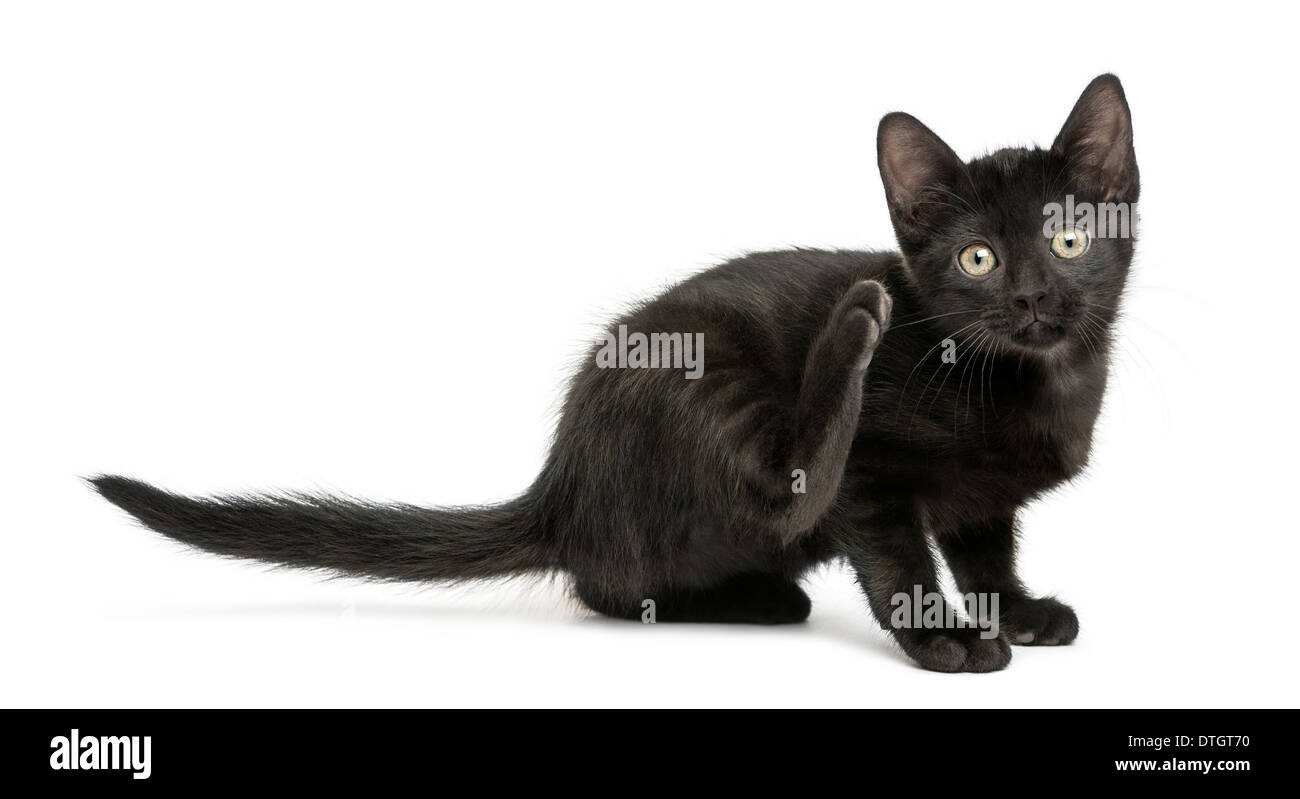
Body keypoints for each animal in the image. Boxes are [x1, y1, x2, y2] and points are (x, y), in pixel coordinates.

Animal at [94, 76, 1138, 675]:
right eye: (976, 260)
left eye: (1067, 239)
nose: (1032, 299)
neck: (1036, 383)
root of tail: (562, 484)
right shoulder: (878, 481)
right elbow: (899, 560)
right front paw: (941, 636)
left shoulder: (982, 503)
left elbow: (985, 556)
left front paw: (1021, 611)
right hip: (708, 380)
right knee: (744, 509)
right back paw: (848, 329)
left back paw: (757, 594)